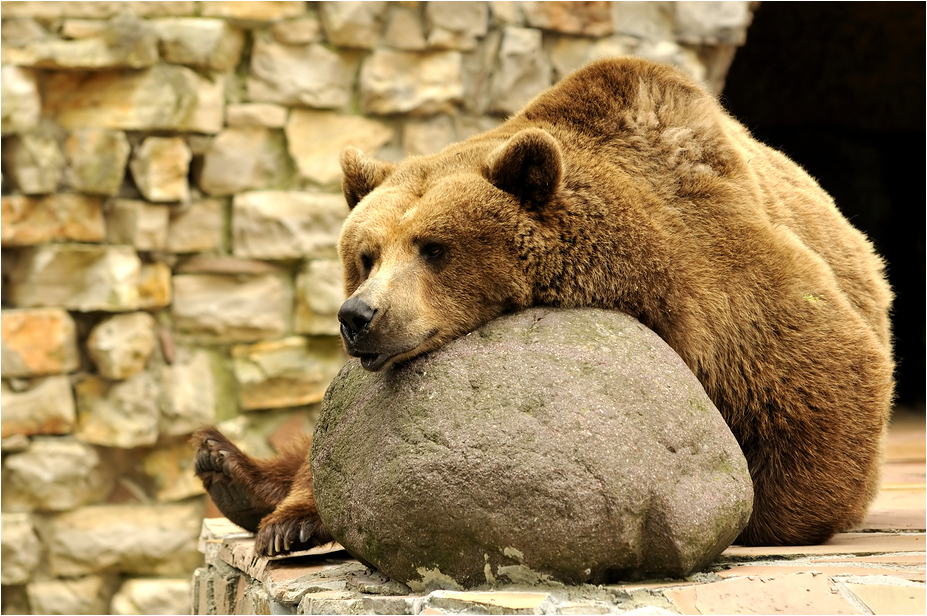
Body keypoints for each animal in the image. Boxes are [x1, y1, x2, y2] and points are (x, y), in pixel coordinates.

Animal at [194, 57, 894, 558]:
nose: (358, 317)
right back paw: (226, 466)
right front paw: (289, 524)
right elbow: (333, 447)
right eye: (366, 254)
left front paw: (752, 518)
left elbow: (820, 370)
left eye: (433, 248)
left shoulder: (718, 270)